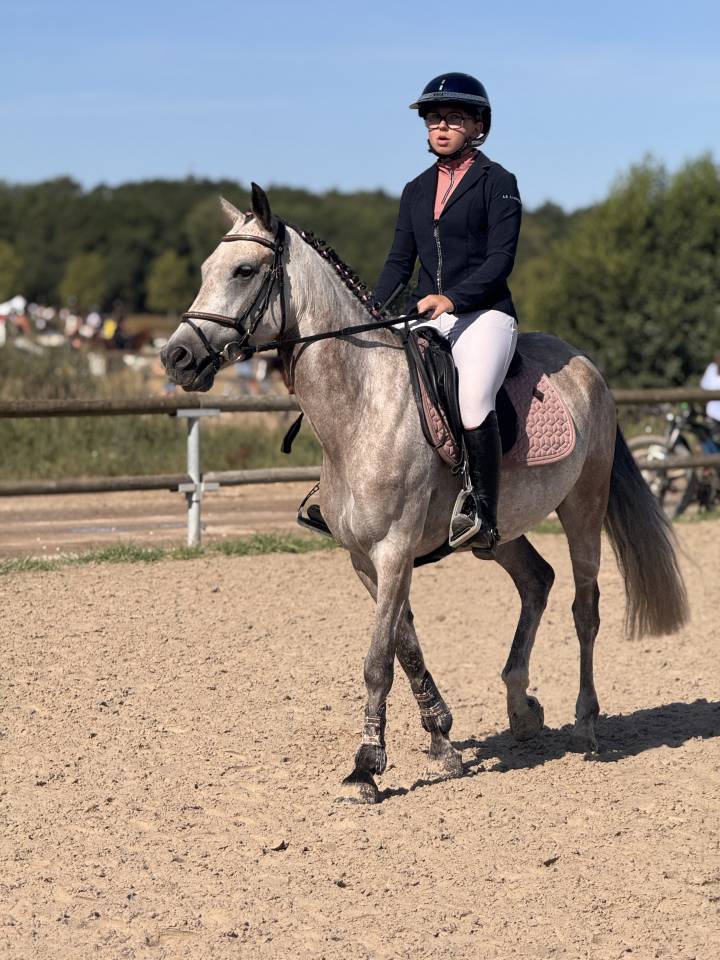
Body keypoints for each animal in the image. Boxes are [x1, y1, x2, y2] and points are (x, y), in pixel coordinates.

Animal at [161, 183, 689, 804]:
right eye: (205, 269)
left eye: (244, 270)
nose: (176, 357)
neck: (361, 407)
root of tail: (588, 366)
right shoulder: (365, 559)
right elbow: (406, 647)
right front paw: (442, 743)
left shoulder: (393, 551)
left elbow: (377, 660)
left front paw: (365, 766)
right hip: (497, 532)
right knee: (537, 581)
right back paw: (521, 709)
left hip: (582, 505)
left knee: (585, 608)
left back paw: (586, 725)